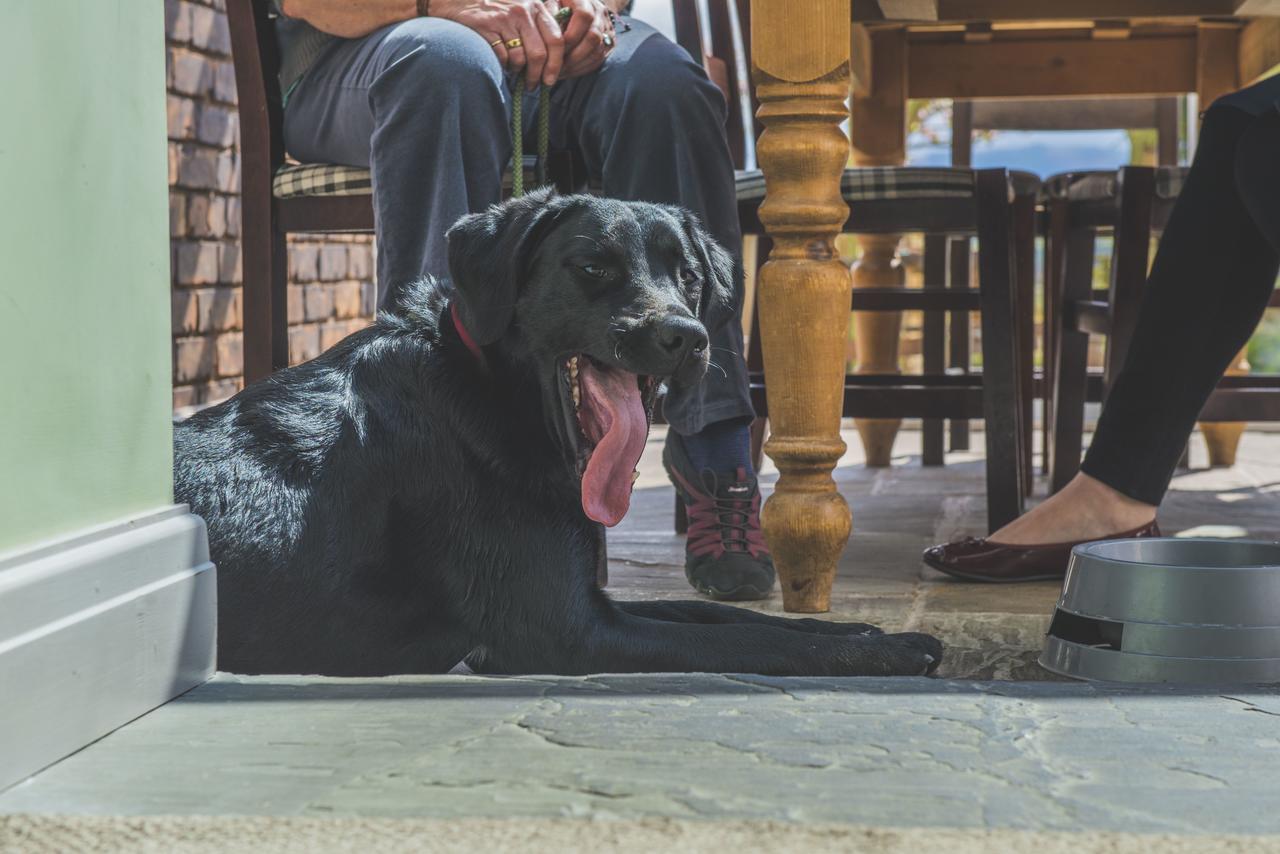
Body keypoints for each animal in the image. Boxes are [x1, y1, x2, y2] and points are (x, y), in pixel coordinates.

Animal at [172, 190, 942, 676]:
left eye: (689, 275)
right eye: (594, 267)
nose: (687, 337)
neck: (486, 390)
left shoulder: (592, 599)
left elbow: (730, 618)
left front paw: (853, 627)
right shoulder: (565, 630)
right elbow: (751, 644)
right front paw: (883, 653)